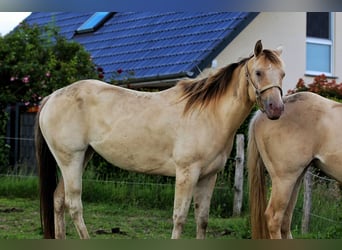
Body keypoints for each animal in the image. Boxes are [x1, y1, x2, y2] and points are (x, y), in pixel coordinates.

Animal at [35, 40, 286, 239]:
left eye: (282, 74)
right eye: (258, 73)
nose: (276, 109)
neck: (208, 114)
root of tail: (51, 97)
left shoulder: (208, 177)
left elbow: (202, 220)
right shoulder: (187, 173)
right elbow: (179, 218)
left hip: (80, 158)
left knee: (58, 200)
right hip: (71, 160)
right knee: (74, 205)